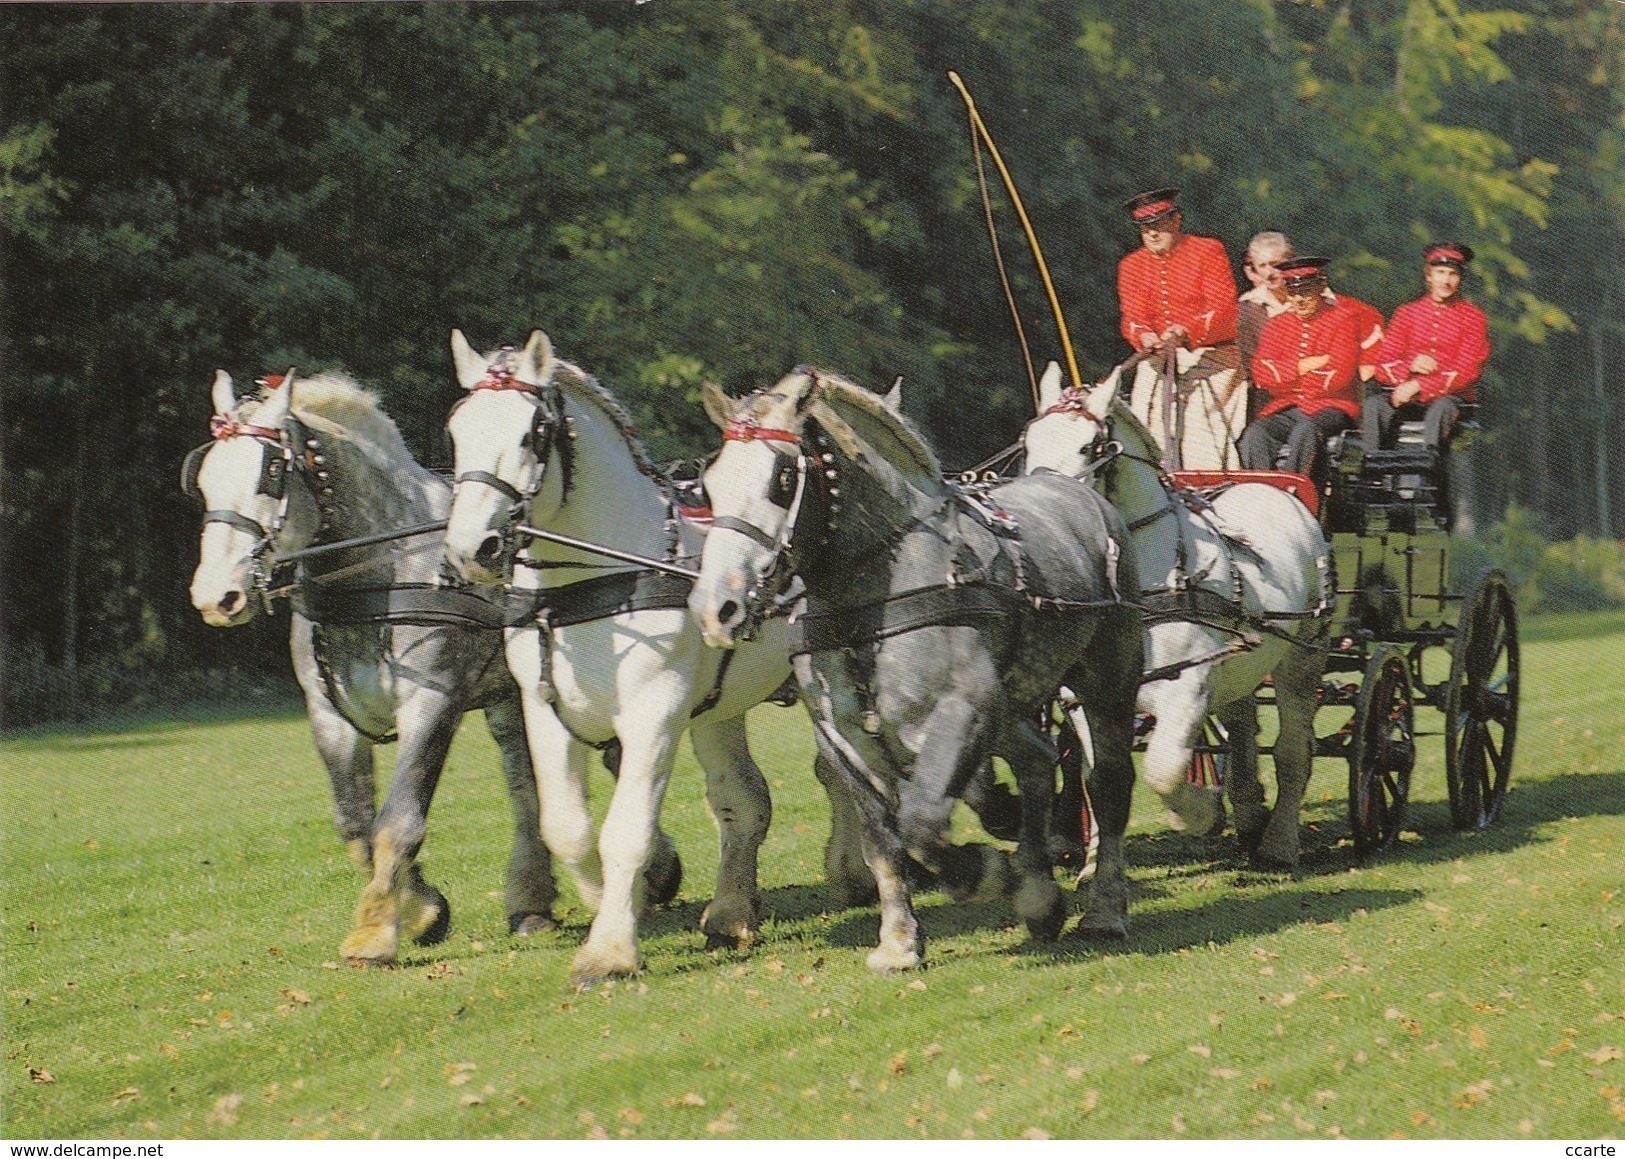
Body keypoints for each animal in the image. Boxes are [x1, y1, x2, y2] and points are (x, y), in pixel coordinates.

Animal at [432, 329, 864, 981]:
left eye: (532, 432)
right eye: (457, 429)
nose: (469, 549)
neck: (598, 576)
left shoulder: (654, 712)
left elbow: (627, 830)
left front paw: (611, 946)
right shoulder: (545, 709)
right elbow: (568, 828)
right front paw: (614, 901)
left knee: (839, 773)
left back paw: (858, 872)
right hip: (718, 710)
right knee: (743, 800)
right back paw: (732, 914)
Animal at [685, 370, 1144, 968]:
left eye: (782, 479)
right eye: (709, 483)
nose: (718, 608)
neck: (873, 593)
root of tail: (1072, 489)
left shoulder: (961, 710)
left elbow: (921, 823)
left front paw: (983, 873)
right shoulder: (845, 736)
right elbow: (884, 839)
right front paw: (900, 941)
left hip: (1106, 681)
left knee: (1107, 785)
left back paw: (1103, 907)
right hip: (1010, 705)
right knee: (1038, 761)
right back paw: (1041, 897)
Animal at [1027, 364, 1332, 871]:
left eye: (1089, 447)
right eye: (1028, 441)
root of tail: (1274, 488)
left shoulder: (1187, 690)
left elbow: (1163, 770)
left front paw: (1203, 812)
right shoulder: (1085, 701)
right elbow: (1101, 780)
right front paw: (1096, 868)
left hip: (1301, 659)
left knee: (1293, 751)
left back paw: (1279, 842)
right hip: (1240, 662)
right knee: (1243, 725)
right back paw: (1250, 812)